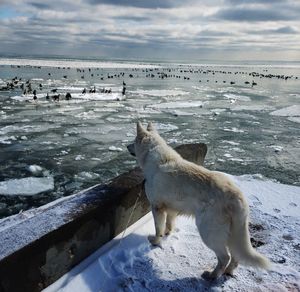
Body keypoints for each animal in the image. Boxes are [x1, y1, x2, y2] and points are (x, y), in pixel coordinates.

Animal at [127, 121, 270, 280]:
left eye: (133, 141)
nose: (127, 146)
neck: (154, 156)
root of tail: (238, 196)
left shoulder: (157, 207)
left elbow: (158, 228)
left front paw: (156, 241)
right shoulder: (171, 208)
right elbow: (168, 225)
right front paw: (167, 233)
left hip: (208, 231)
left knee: (224, 257)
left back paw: (212, 275)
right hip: (233, 233)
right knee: (235, 256)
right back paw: (228, 271)